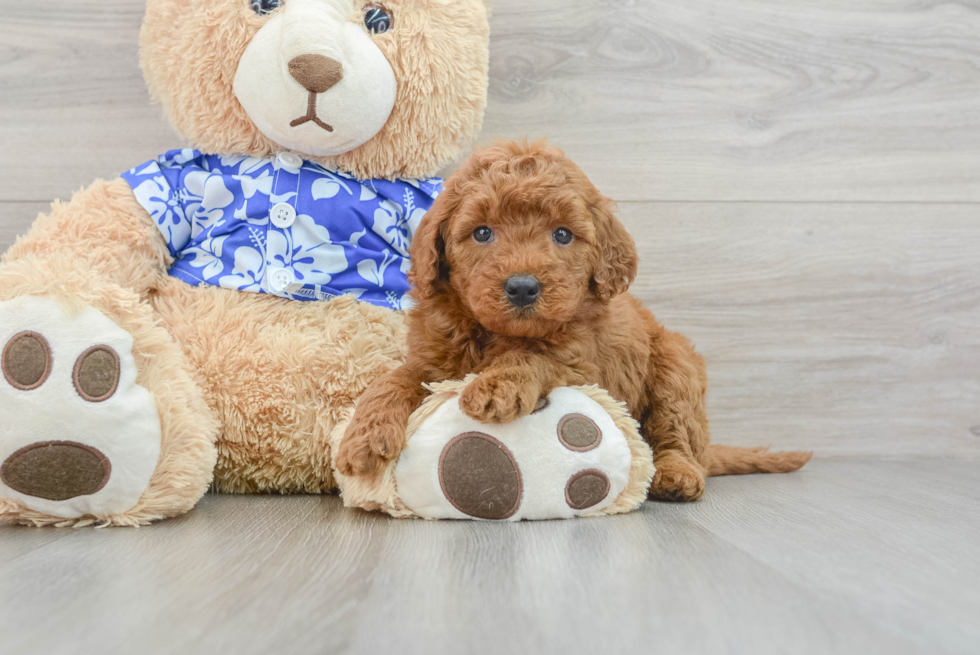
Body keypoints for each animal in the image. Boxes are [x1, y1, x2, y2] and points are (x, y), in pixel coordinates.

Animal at [336, 140, 812, 502]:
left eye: (562, 234)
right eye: (482, 232)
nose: (523, 287)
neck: (496, 335)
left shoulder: (581, 363)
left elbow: (532, 358)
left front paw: (496, 385)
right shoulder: (433, 358)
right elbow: (395, 378)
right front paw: (362, 434)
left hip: (676, 369)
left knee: (675, 434)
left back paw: (677, 475)